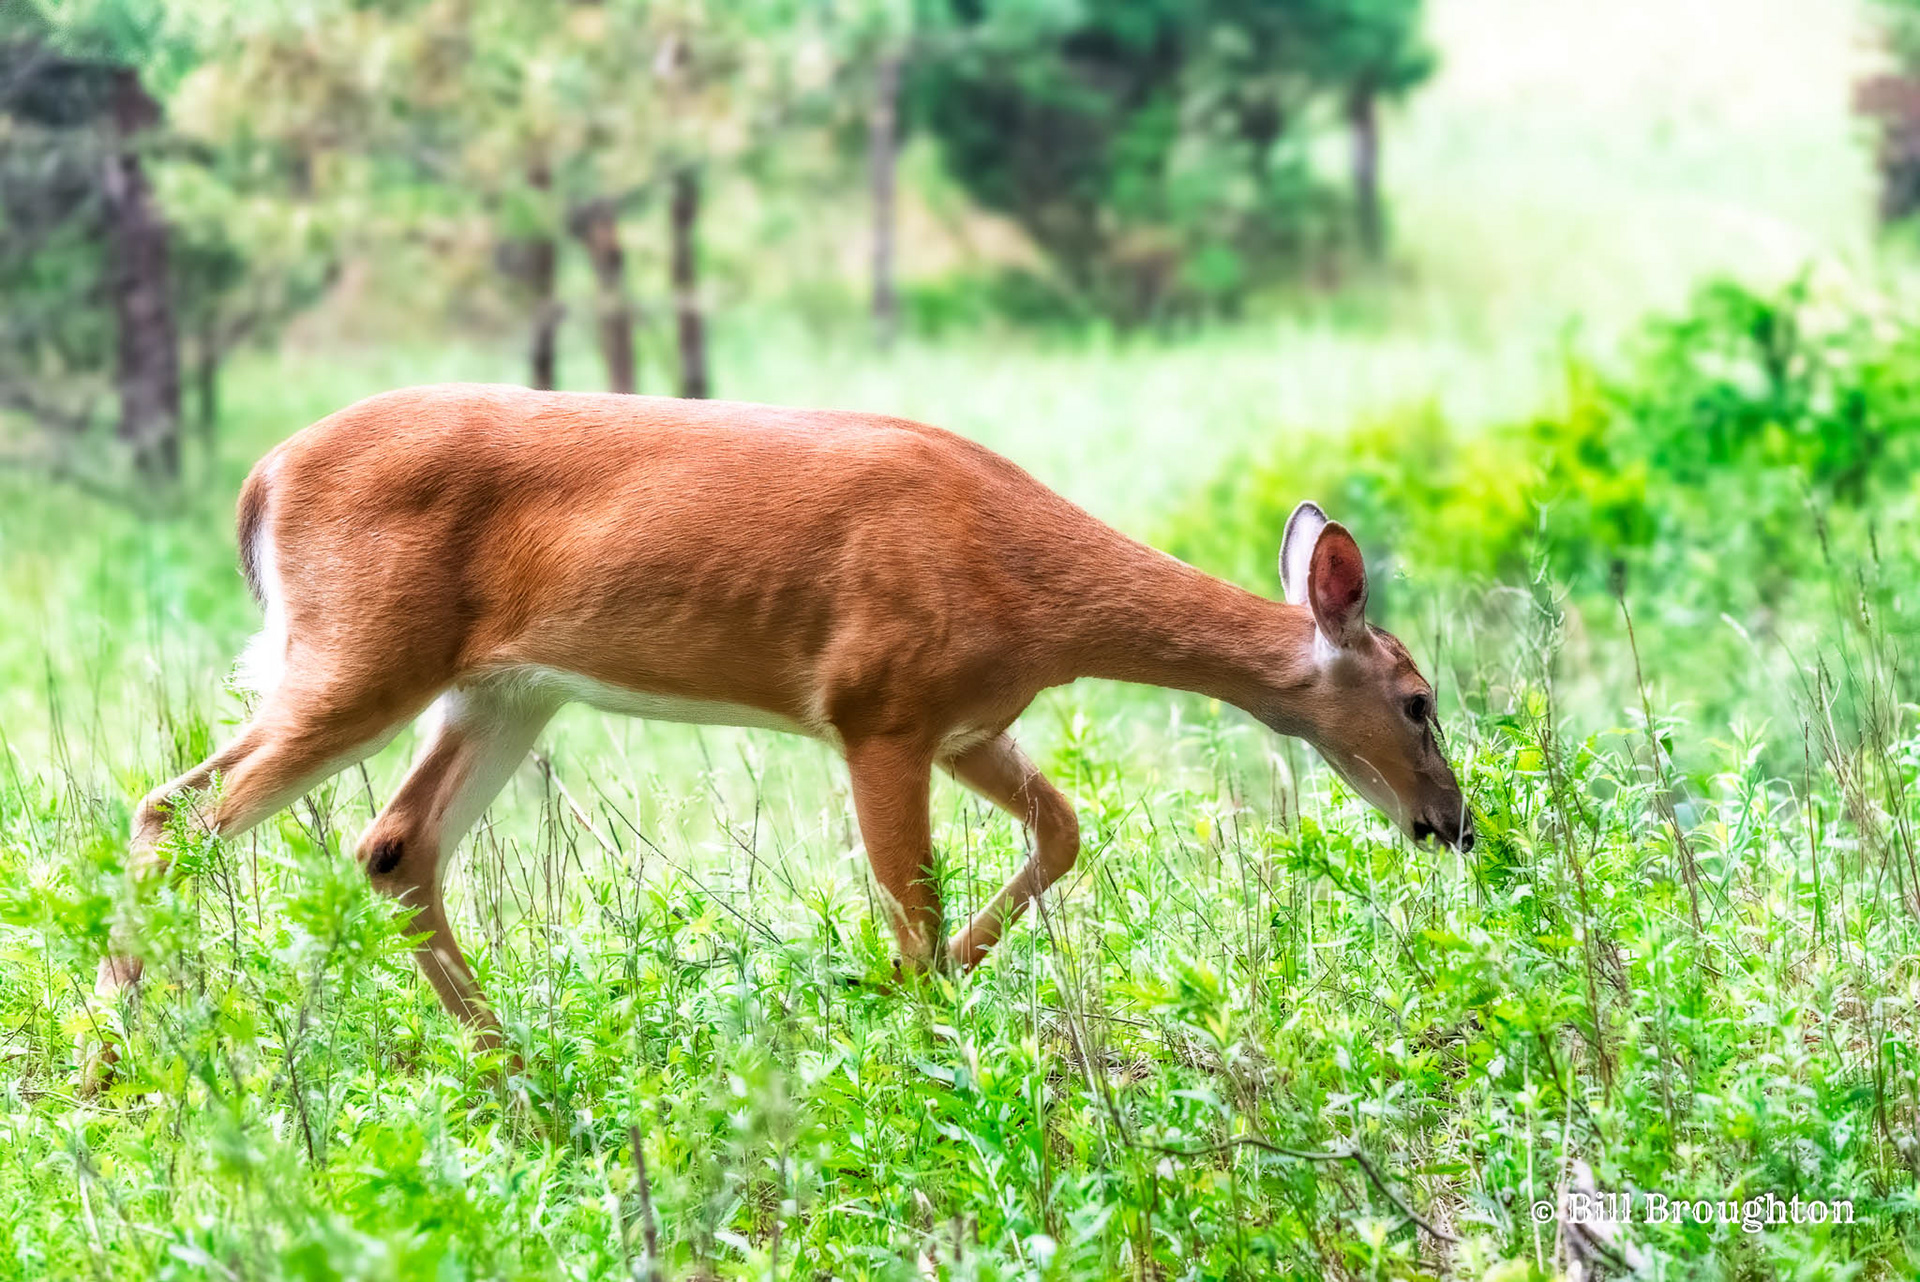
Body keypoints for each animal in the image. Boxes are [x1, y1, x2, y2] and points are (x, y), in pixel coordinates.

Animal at [93, 384, 1472, 1067]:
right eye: (1418, 701)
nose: (1452, 825)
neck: (1030, 590)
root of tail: (262, 480)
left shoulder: (968, 722)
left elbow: (1065, 830)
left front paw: (937, 989)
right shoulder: (878, 707)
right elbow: (911, 905)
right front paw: (921, 1041)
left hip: (502, 688)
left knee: (392, 845)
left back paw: (525, 1075)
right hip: (359, 652)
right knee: (175, 811)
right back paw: (107, 1075)